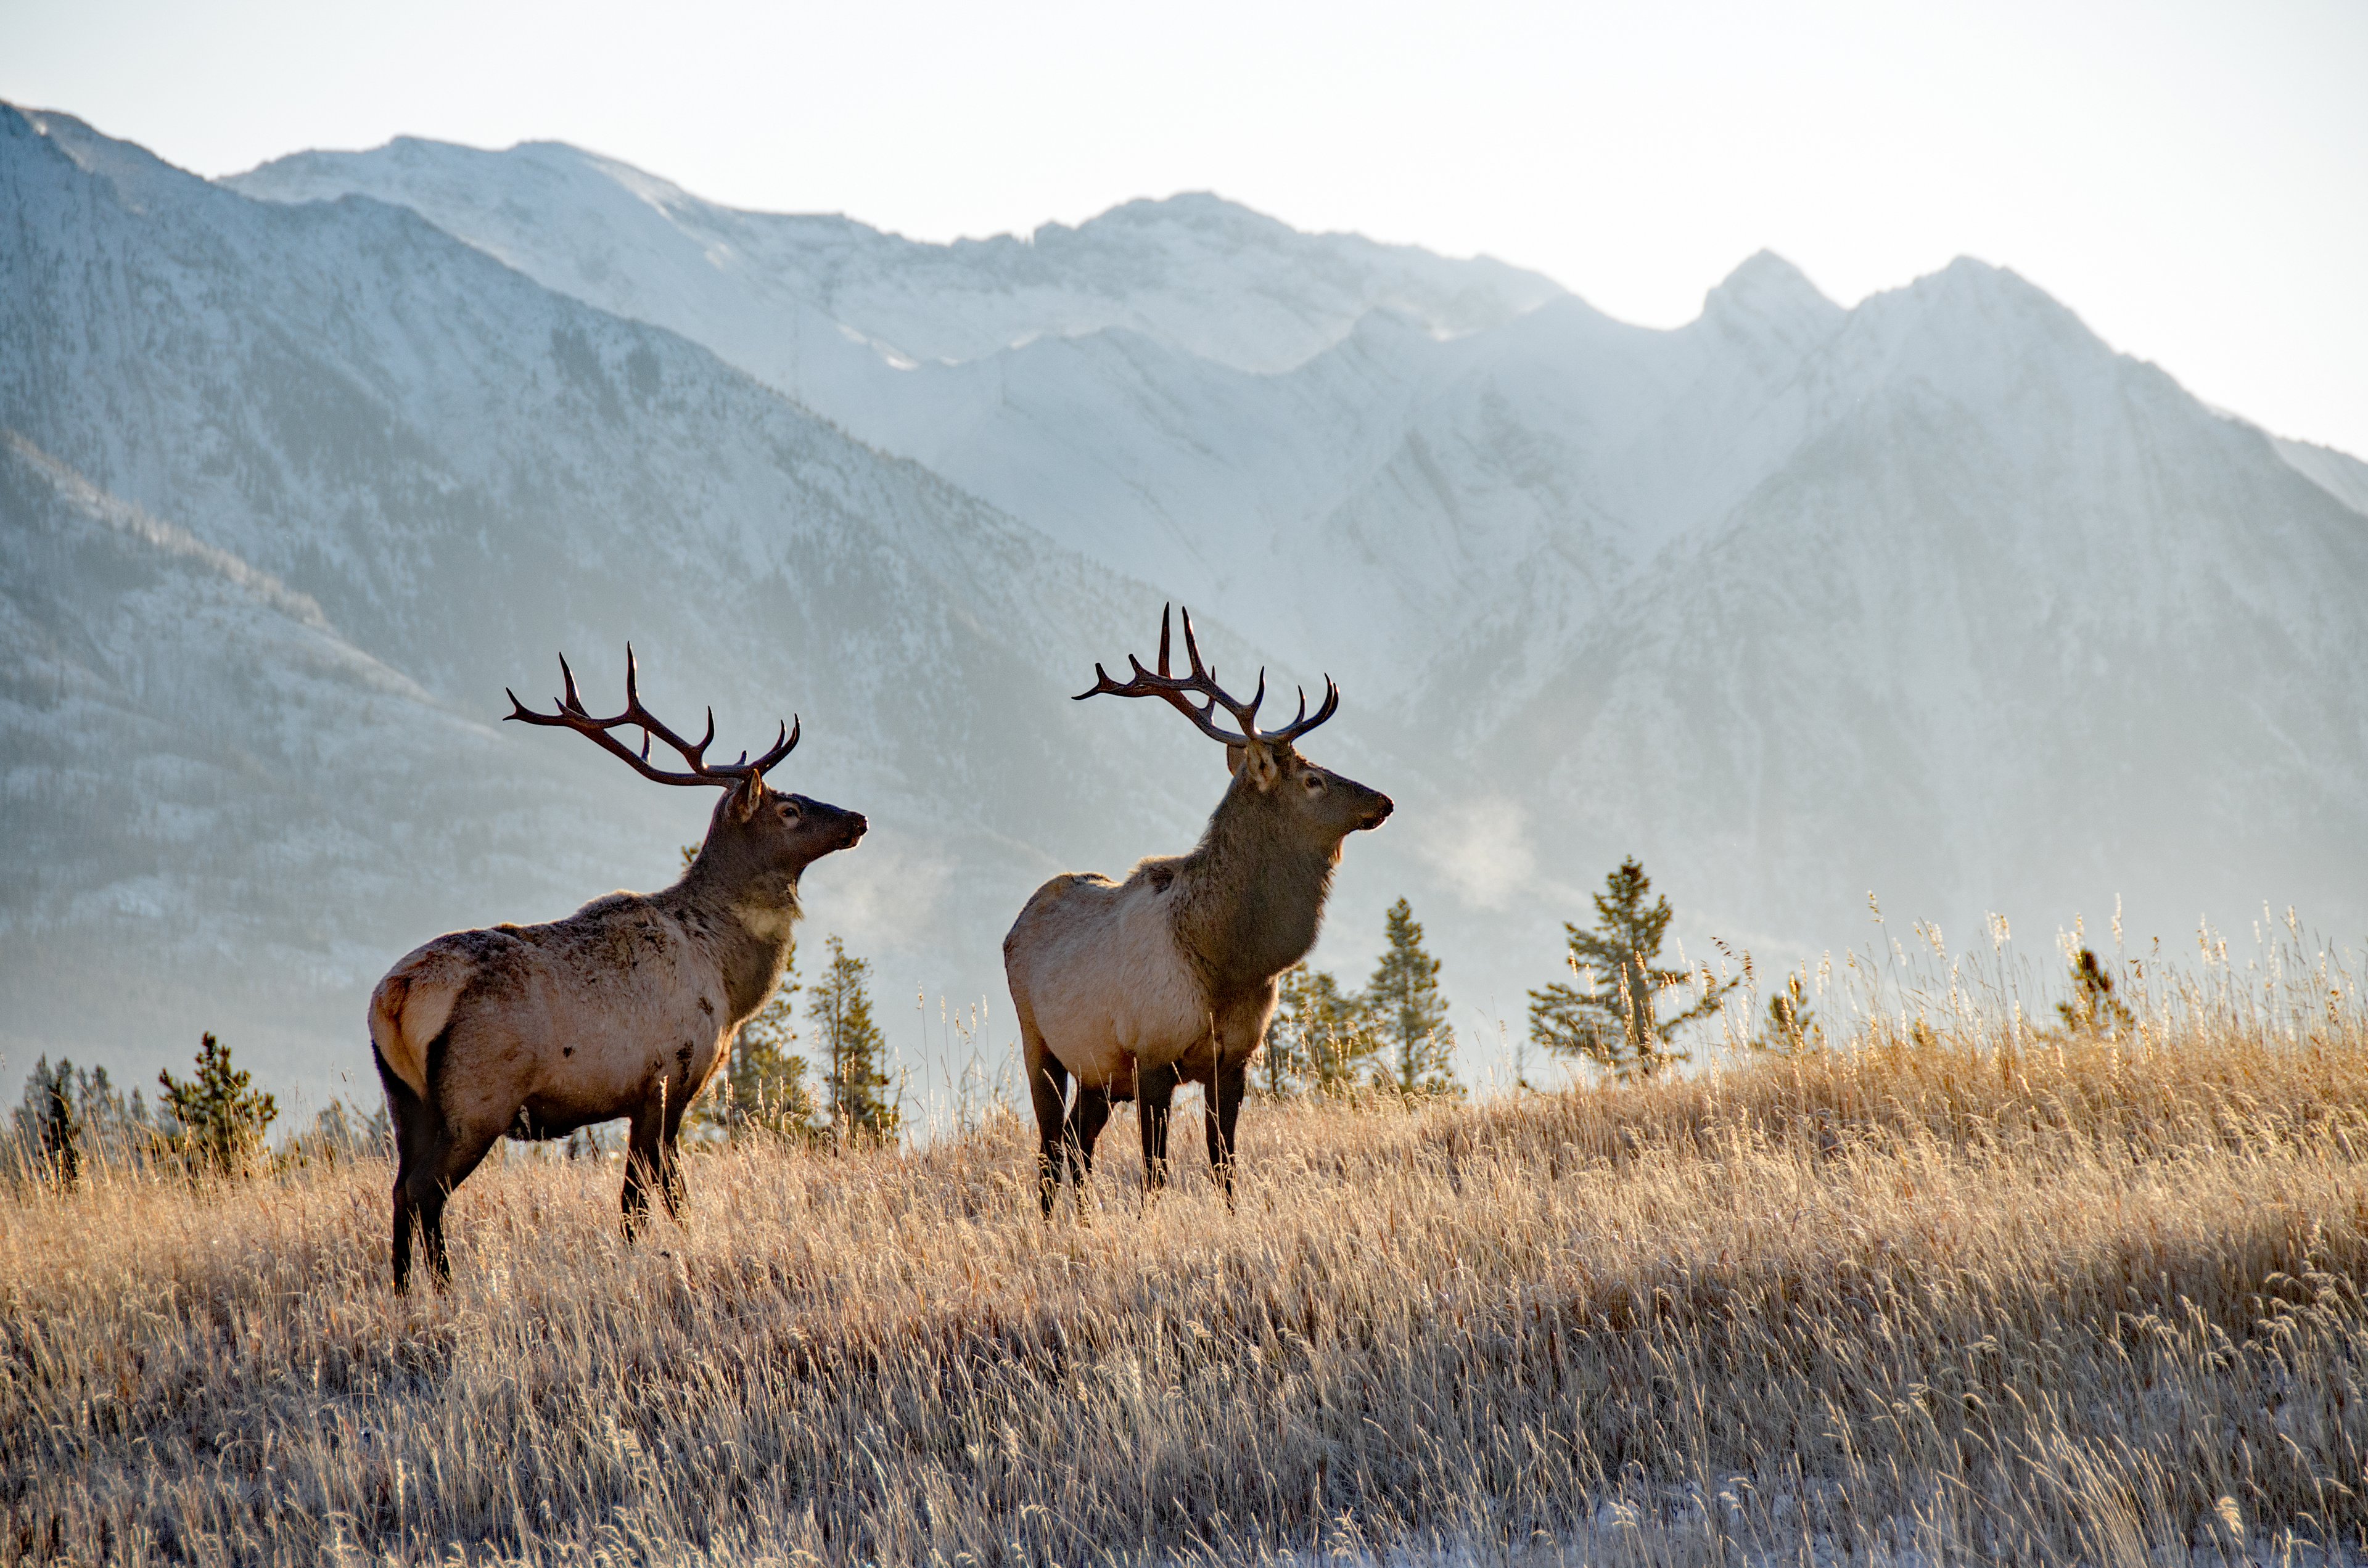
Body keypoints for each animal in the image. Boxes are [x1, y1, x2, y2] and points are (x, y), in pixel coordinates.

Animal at [367, 649, 865, 1290]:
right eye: (790, 809)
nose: (858, 818)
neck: (730, 983)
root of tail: (395, 996)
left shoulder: (641, 1096)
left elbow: (640, 1196)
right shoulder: (670, 1077)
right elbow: (657, 1194)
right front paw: (667, 1252)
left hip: (404, 1099)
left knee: (401, 1190)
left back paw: (406, 1294)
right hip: (476, 1100)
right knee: (427, 1192)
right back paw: (448, 1290)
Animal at [1003, 606, 1392, 1216]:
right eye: (1313, 779)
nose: (1383, 800)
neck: (1228, 961)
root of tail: (1014, 925)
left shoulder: (1232, 1058)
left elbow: (1223, 1163)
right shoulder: (1151, 1055)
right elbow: (1154, 1171)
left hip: (1098, 1071)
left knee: (1076, 1140)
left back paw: (1082, 1222)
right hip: (1038, 1041)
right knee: (1049, 1146)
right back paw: (1048, 1223)